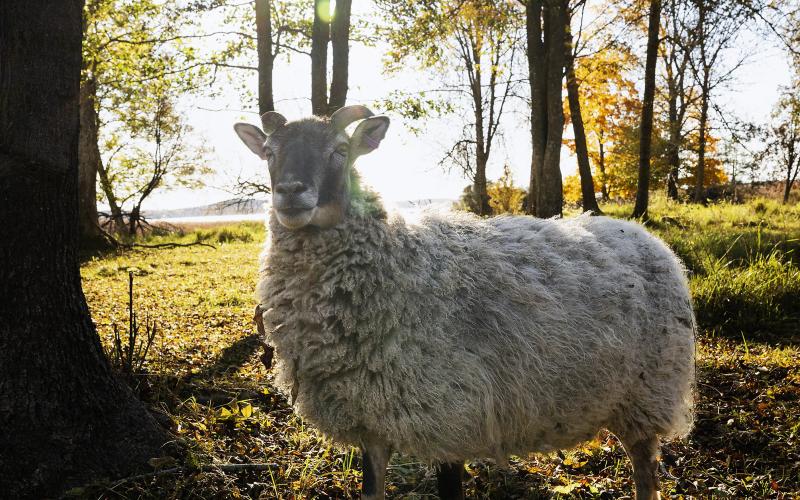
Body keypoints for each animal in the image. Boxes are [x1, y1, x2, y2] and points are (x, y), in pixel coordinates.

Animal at [233, 106, 692, 500]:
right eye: (269, 153)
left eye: (340, 151)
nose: (290, 192)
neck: (397, 260)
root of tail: (645, 237)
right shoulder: (370, 422)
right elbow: (372, 489)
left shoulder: (449, 418)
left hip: (649, 395)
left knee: (646, 476)